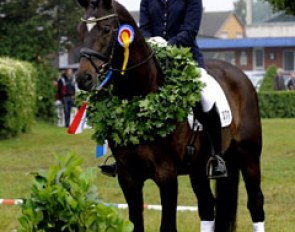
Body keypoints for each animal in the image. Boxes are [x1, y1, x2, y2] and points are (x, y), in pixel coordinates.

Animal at [75, 0, 264, 231]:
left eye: (106, 29)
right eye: (81, 30)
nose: (83, 78)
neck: (140, 102)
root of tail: (240, 75)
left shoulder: (167, 174)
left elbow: (167, 225)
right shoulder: (128, 177)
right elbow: (135, 223)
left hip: (249, 156)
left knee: (255, 202)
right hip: (199, 168)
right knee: (207, 205)